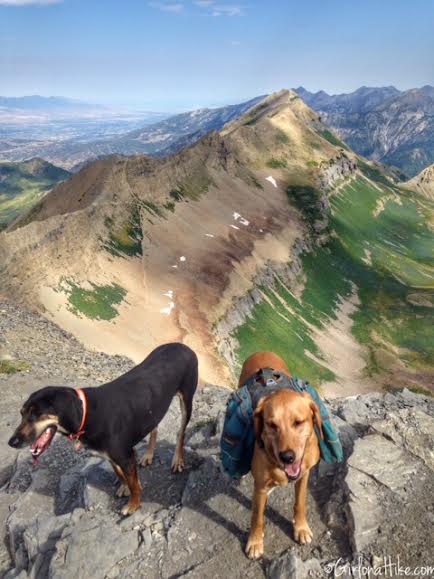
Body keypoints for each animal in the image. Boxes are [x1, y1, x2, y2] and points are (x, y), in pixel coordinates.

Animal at [8, 342, 198, 516]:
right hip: (154, 407)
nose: (12, 442)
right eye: (22, 413)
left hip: (186, 400)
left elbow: (134, 485)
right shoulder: (110, 456)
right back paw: (148, 455)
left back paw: (177, 459)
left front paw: (133, 505)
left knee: (181, 433)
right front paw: (125, 487)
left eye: (36, 414)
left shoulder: (125, 455)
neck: (86, 413)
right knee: (155, 428)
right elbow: (122, 475)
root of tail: (182, 345)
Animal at [241, 352, 322, 560]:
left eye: (298, 422)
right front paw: (255, 541)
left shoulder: (304, 475)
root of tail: (261, 351)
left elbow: (300, 503)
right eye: (271, 425)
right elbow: (257, 517)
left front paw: (301, 528)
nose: (287, 457)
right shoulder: (260, 487)